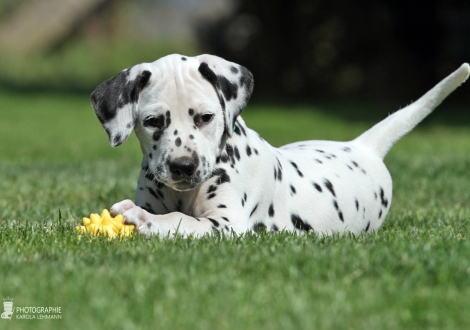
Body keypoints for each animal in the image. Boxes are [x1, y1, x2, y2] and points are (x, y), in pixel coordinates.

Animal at [90, 55, 468, 238]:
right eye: (153, 121)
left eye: (206, 117)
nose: (183, 166)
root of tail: (363, 147)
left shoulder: (226, 224)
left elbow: (178, 220)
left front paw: (142, 220)